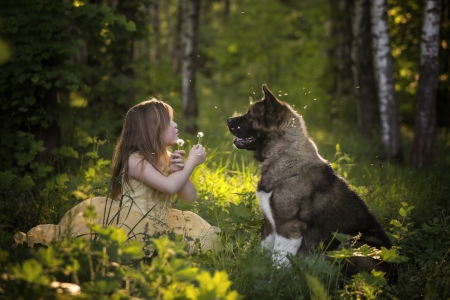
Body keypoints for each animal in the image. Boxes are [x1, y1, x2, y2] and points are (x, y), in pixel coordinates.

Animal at [229, 83, 398, 280]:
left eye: (250, 114)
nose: (228, 120)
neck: (284, 156)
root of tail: (394, 272)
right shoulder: (270, 226)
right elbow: (264, 253)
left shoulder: (290, 226)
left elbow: (278, 261)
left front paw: (273, 281)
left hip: (350, 244)